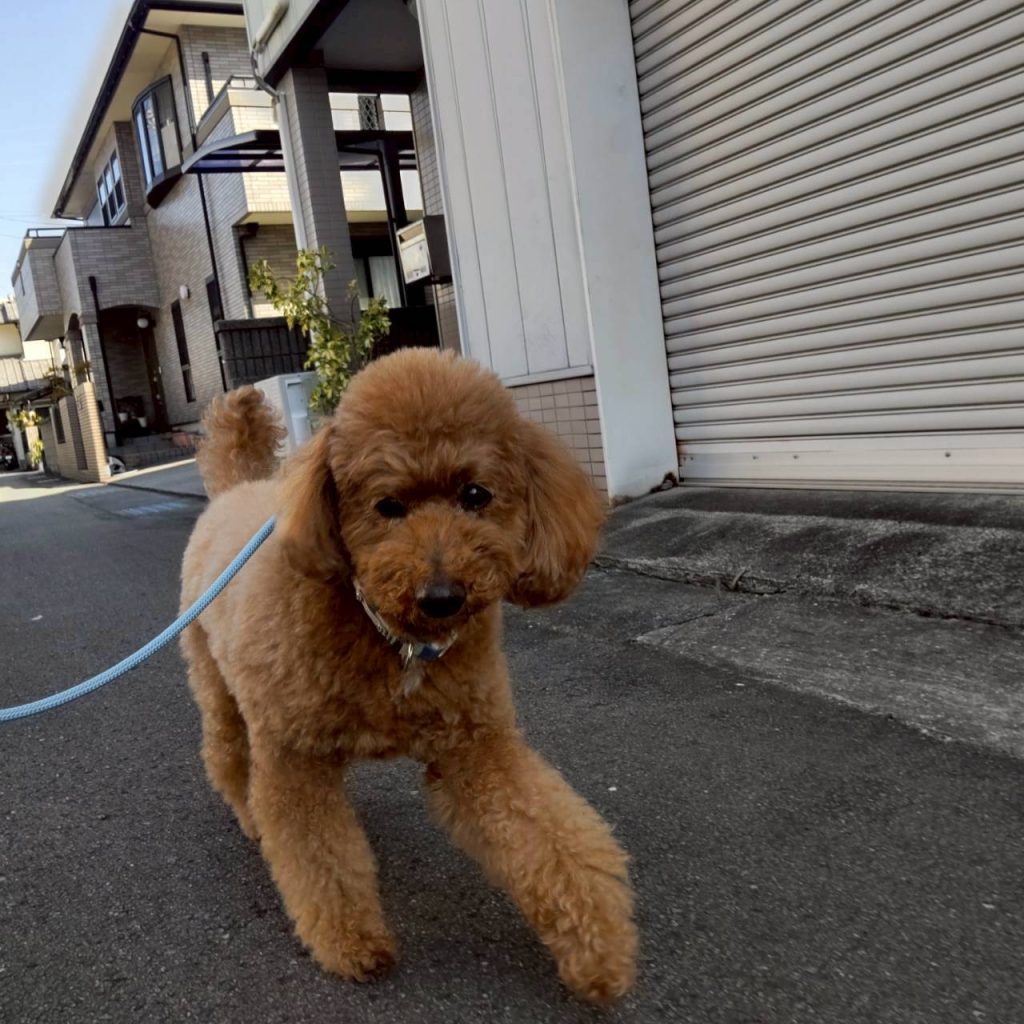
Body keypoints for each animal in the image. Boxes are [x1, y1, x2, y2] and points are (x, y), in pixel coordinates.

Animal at [179, 348, 638, 1003]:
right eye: (387, 506)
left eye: (475, 494)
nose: (442, 596)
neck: (394, 642)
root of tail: (236, 489)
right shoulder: (293, 757)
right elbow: (319, 859)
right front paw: (351, 943)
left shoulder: (476, 746)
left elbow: (552, 838)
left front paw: (599, 949)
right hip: (218, 684)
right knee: (228, 757)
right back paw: (249, 817)